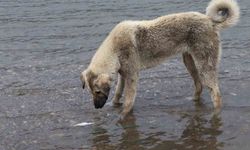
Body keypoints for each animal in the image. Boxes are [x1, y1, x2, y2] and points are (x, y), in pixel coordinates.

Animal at [81, 0, 239, 119]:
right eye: (91, 92)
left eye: (97, 92)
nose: (96, 107)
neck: (114, 50)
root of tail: (210, 21)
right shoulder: (123, 74)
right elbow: (118, 93)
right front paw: (114, 106)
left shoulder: (132, 76)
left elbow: (128, 100)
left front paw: (123, 116)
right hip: (189, 61)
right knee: (199, 85)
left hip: (204, 66)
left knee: (216, 94)